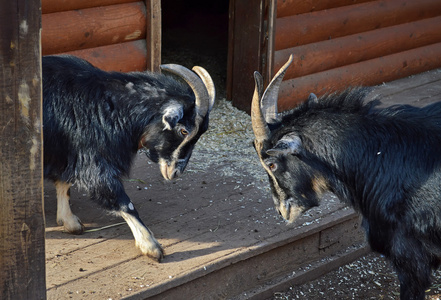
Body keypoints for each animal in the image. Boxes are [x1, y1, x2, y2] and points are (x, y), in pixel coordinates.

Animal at [43, 55, 215, 262]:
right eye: (183, 131)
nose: (175, 172)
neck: (109, 108)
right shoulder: (96, 163)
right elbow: (124, 202)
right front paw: (151, 247)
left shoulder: (67, 154)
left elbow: (64, 184)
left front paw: (69, 222)